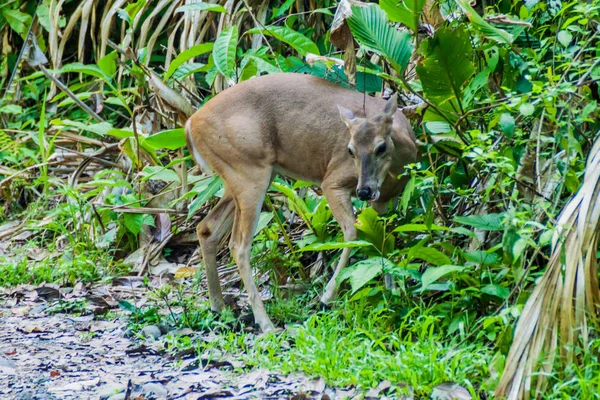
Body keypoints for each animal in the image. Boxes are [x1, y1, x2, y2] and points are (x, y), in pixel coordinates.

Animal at [186, 72, 418, 332]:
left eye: (381, 147)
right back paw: (266, 324)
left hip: (240, 175)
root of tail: (190, 123)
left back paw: (219, 308)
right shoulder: (332, 181)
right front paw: (326, 299)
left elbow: (386, 235)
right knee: (238, 244)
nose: (365, 191)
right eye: (350, 150)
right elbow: (352, 232)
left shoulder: (387, 198)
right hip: (249, 172)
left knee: (206, 228)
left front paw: (392, 291)